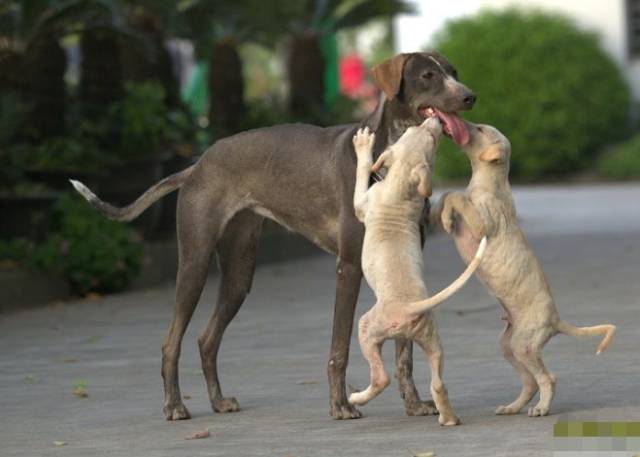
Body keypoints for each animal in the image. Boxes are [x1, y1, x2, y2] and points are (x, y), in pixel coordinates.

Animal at [71, 51, 476, 418]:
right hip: (195, 264)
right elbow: (339, 348)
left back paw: (219, 401)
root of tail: (196, 165)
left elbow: (405, 352)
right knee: (171, 342)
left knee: (206, 339)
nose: (470, 96)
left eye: (454, 72)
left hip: (239, 273)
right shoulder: (348, 267)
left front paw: (413, 404)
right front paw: (340, 406)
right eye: (427, 76)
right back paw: (174, 406)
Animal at [348, 117, 488, 424]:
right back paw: (449, 419)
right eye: (416, 130)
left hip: (368, 328)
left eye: (432, 139)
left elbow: (362, 176)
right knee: (438, 383)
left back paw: (356, 397)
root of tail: (410, 307)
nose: (435, 120)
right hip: (431, 339)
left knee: (381, 378)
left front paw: (363, 146)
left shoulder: (364, 202)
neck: (401, 184)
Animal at [430, 121, 616, 416]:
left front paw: (448, 216)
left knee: (547, 378)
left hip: (524, 345)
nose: (457, 124)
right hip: (509, 344)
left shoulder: (482, 225)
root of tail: (556, 321)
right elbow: (449, 195)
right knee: (530, 382)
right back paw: (512, 407)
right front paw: (441, 215)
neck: (490, 182)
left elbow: (457, 195)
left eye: (479, 129)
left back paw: (541, 408)